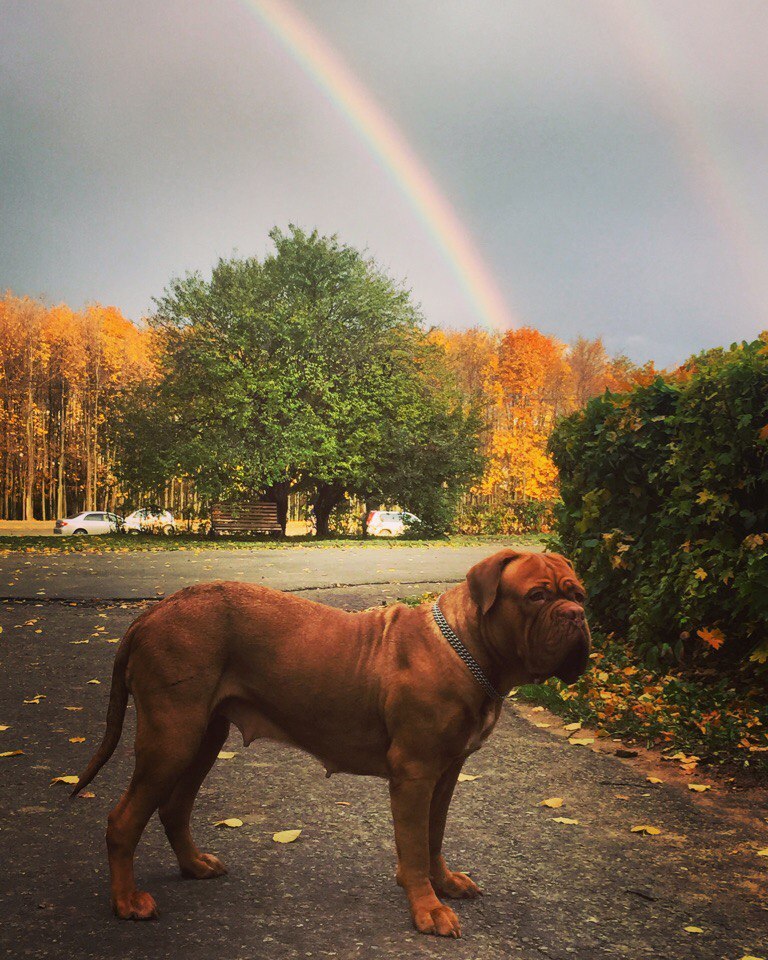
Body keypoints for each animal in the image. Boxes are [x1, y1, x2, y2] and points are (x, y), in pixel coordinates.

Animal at [73, 548, 588, 936]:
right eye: (537, 595)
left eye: (578, 593)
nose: (578, 616)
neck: (468, 648)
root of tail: (154, 611)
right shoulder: (415, 774)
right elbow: (414, 846)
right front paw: (427, 908)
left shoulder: (446, 773)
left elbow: (434, 835)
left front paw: (442, 883)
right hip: (172, 738)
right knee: (123, 820)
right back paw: (126, 901)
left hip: (203, 737)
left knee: (174, 807)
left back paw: (195, 865)